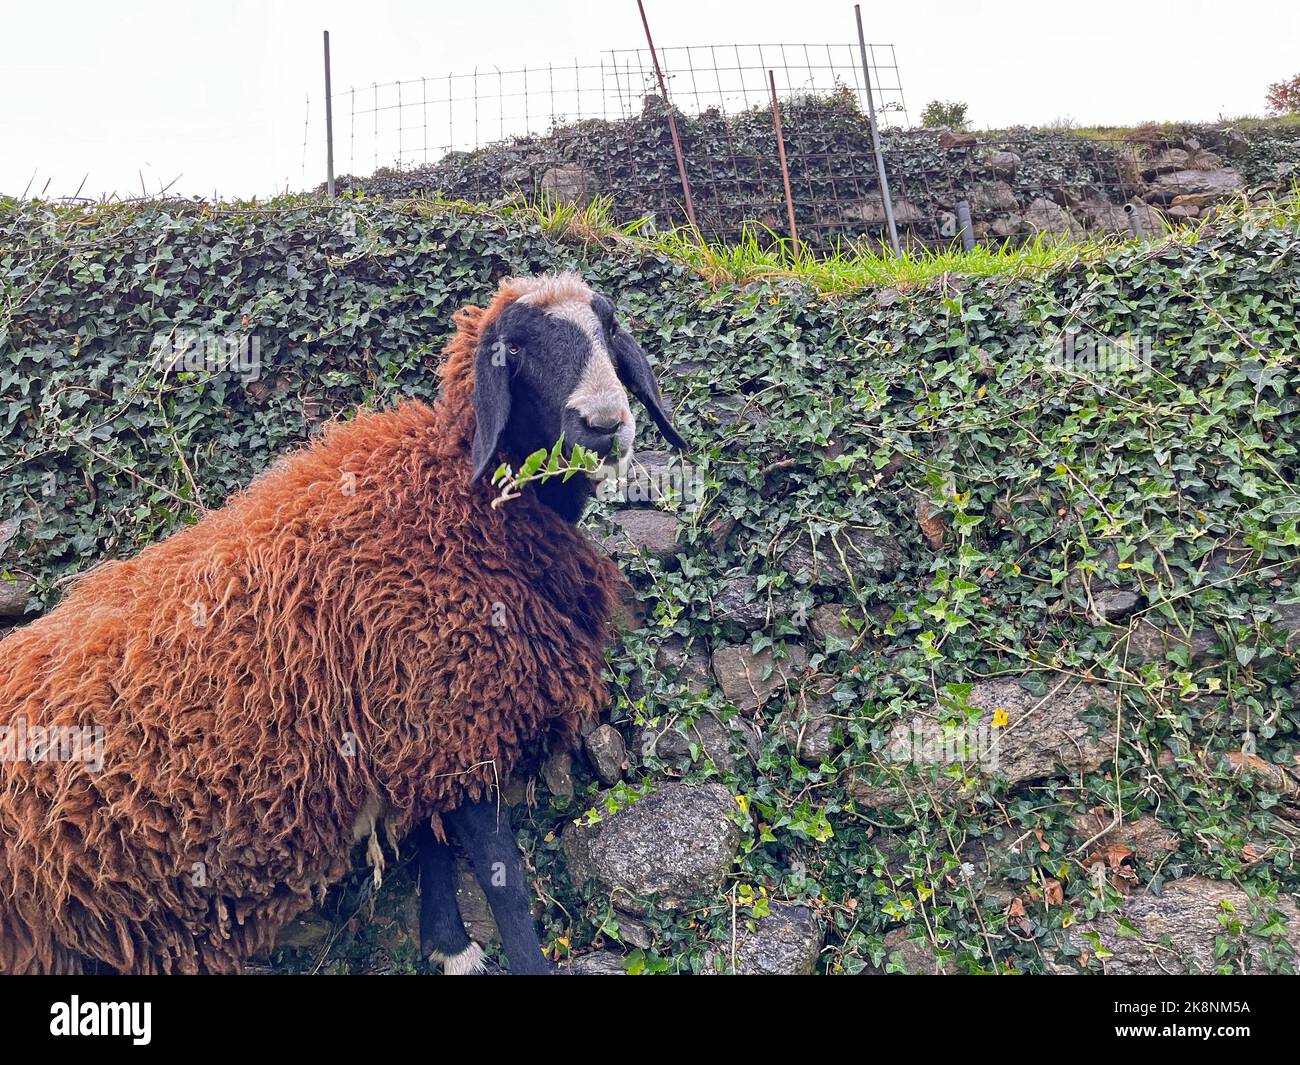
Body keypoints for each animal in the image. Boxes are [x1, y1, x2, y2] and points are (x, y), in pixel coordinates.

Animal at [0, 271, 685, 974]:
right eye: (515, 349)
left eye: (608, 329)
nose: (605, 425)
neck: (465, 508)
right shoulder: (450, 714)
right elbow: (505, 880)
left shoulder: (419, 728)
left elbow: (431, 838)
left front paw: (448, 943)